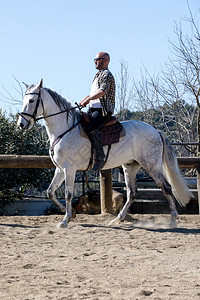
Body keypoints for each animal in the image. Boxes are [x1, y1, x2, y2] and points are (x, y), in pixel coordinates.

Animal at [18, 79, 193, 227]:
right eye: (23, 100)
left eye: (31, 101)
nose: (21, 124)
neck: (64, 130)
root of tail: (156, 131)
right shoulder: (60, 169)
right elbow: (50, 192)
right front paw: (71, 213)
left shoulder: (69, 169)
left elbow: (68, 194)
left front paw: (65, 220)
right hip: (130, 167)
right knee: (132, 193)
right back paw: (117, 219)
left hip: (152, 166)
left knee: (166, 188)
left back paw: (172, 220)